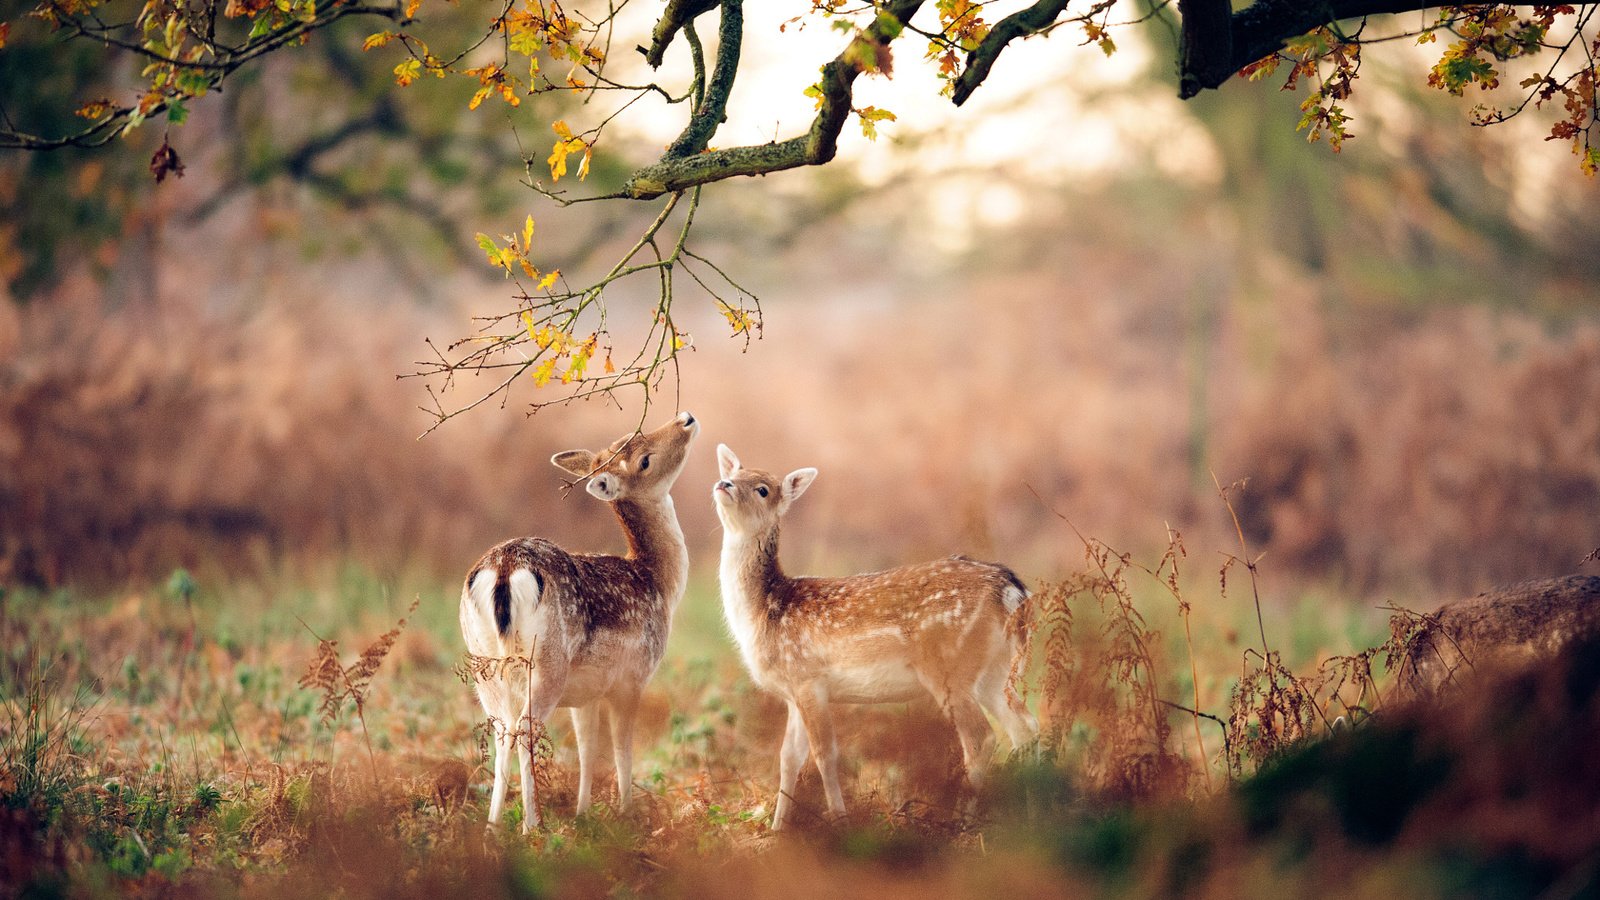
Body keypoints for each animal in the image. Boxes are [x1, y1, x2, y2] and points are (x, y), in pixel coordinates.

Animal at [454, 409, 697, 832]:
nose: (685, 418)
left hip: (484, 664)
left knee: (502, 729)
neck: (658, 583)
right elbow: (622, 748)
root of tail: (504, 569)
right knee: (525, 728)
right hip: (546, 662)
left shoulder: (586, 694)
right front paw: (626, 815)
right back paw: (532, 825)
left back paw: (492, 827)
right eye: (644, 460)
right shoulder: (632, 678)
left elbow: (586, 747)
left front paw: (584, 814)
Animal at [713, 441, 1036, 826]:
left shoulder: (808, 679)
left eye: (762, 489)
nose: (723, 485)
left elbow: (824, 754)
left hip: (949, 667)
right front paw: (777, 828)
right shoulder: (792, 691)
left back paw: (962, 820)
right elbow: (788, 758)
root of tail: (1012, 590)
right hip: (994, 670)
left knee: (981, 738)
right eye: (733, 473)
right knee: (1025, 726)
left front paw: (838, 819)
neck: (765, 611)